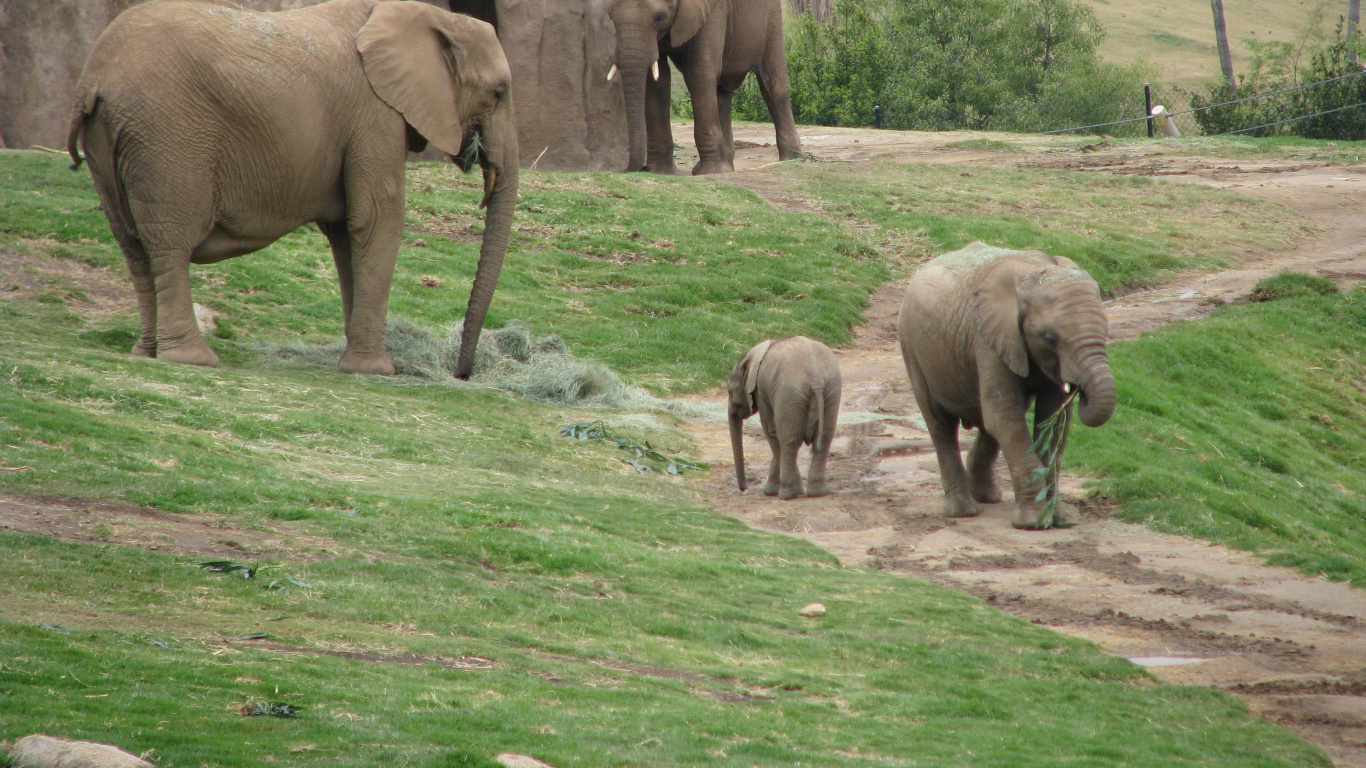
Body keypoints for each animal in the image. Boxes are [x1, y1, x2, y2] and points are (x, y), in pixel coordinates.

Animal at [66, 0, 519, 378]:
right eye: (498, 94)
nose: (462, 374)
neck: (433, 16)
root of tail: (93, 81)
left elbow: (346, 232)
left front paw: (354, 362)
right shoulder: (375, 114)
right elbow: (376, 219)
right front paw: (376, 370)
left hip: (110, 141)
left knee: (132, 245)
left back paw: (146, 352)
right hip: (167, 139)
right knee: (169, 242)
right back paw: (193, 359)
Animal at [606, 0, 800, 174]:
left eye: (659, 17)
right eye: (611, 16)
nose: (635, 169)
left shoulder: (711, 12)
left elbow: (699, 72)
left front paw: (709, 171)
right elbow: (656, 79)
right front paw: (658, 171)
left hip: (771, 18)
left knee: (773, 85)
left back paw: (791, 158)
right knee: (721, 91)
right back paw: (727, 166)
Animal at [728, 336, 841, 499]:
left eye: (730, 391)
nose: (743, 489)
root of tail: (816, 379)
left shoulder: (761, 390)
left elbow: (771, 430)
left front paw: (770, 492)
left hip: (789, 393)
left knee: (789, 442)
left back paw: (787, 495)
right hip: (831, 390)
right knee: (824, 440)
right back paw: (818, 493)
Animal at [896, 243, 1116, 529]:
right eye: (1050, 339)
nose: (1080, 391)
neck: (1033, 275)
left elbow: (1052, 424)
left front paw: (1056, 518)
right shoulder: (988, 339)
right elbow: (1005, 419)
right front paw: (1033, 523)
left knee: (987, 421)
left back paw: (988, 496)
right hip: (913, 349)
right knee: (941, 424)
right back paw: (962, 511)